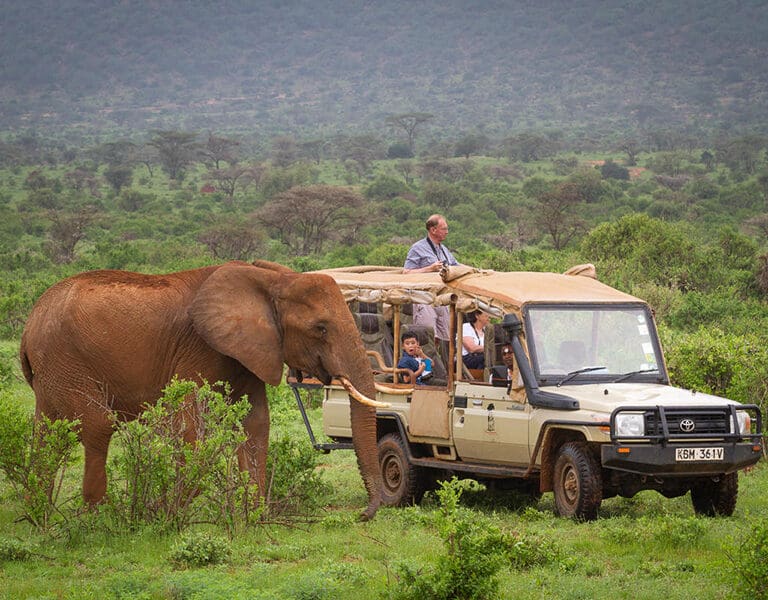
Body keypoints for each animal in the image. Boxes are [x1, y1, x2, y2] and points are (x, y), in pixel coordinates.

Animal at [20, 260, 384, 520]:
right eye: (320, 329)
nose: (361, 515)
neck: (272, 280)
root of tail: (30, 321)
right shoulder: (199, 347)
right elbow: (189, 423)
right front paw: (163, 513)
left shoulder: (249, 351)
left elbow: (256, 423)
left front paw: (253, 516)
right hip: (65, 359)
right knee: (97, 425)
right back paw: (99, 517)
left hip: (52, 371)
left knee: (46, 432)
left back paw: (40, 513)